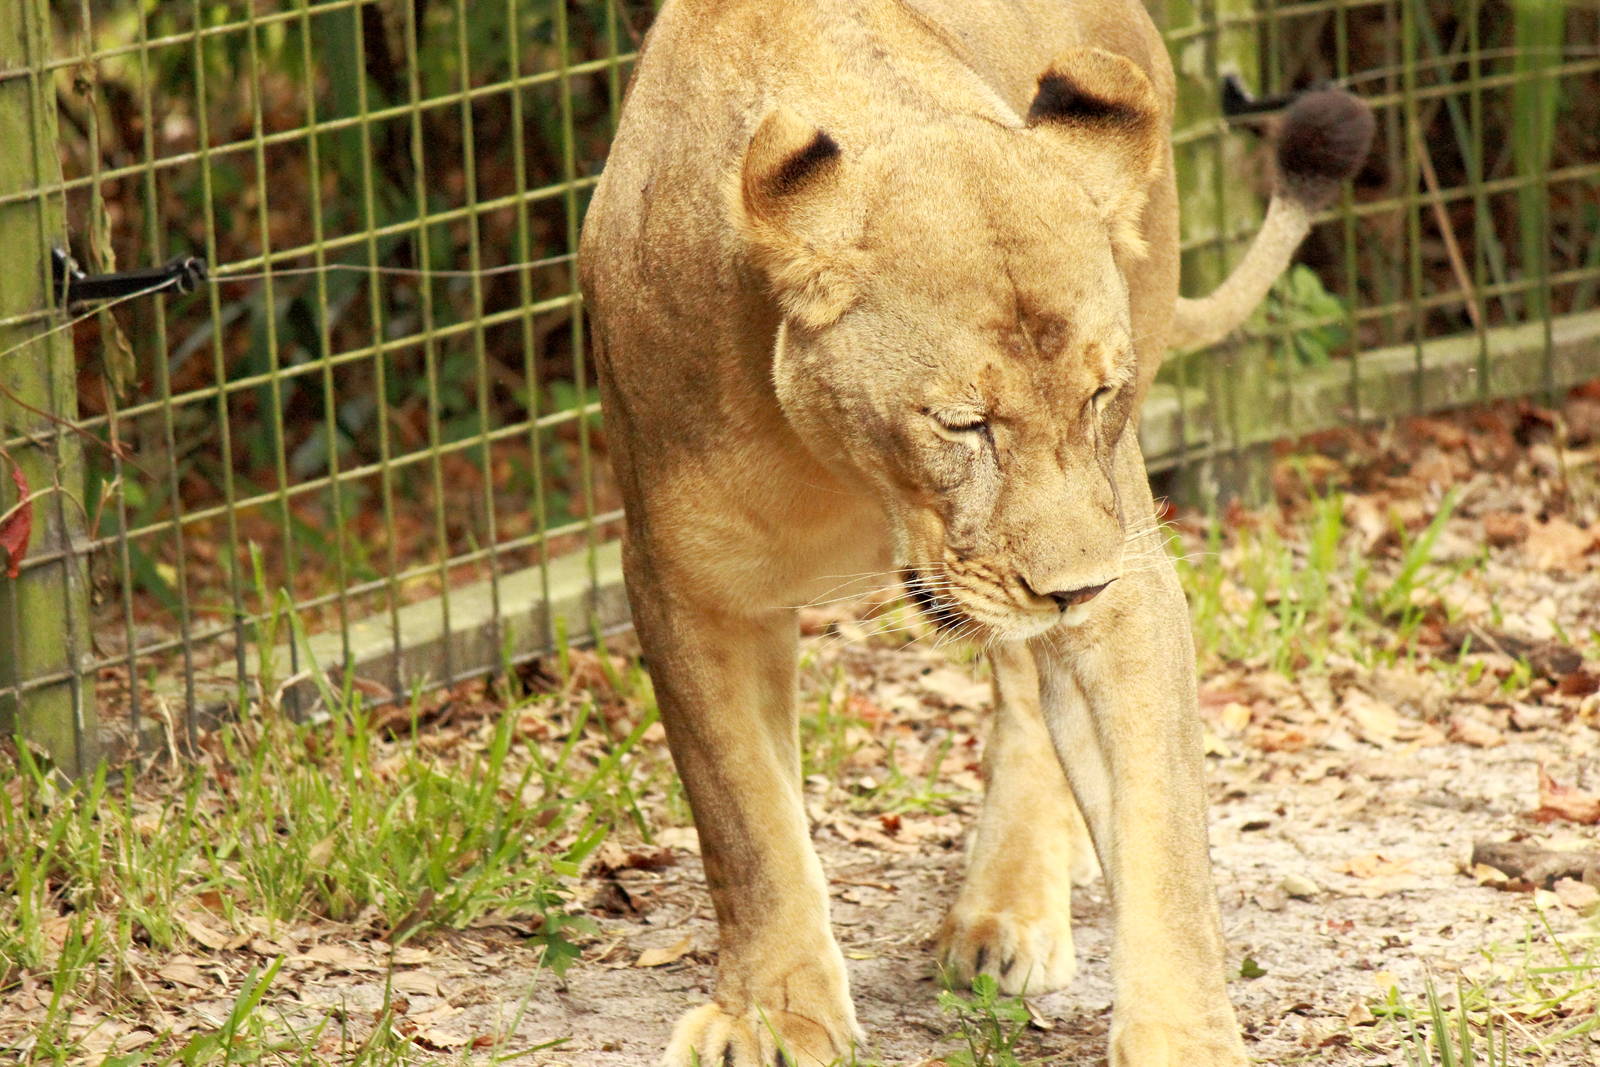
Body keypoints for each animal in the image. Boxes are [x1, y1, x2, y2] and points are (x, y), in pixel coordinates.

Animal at [577, 1, 1372, 1064]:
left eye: (1100, 396)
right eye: (964, 423)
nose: (1075, 585)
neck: (853, 475)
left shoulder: (1122, 574)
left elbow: (1163, 837)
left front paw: (1185, 1038)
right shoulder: (686, 580)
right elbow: (746, 820)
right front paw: (775, 1011)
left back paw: (1009, 910)